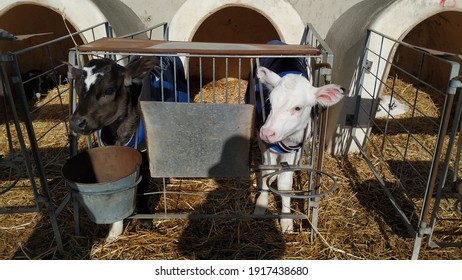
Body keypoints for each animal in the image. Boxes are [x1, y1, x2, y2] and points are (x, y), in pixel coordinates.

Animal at [253, 66, 342, 233]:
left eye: (298, 108)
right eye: (269, 102)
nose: (267, 133)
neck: (287, 139)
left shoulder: (294, 151)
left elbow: (285, 184)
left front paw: (286, 220)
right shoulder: (266, 145)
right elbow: (267, 171)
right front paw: (261, 203)